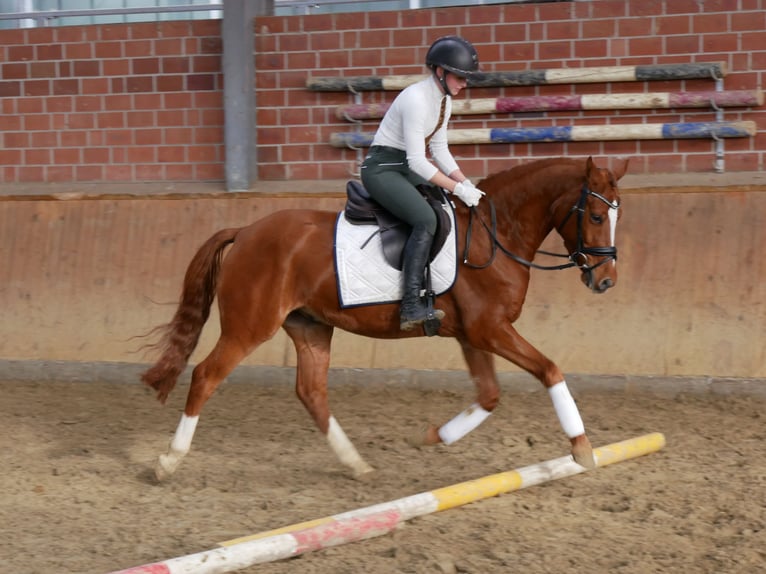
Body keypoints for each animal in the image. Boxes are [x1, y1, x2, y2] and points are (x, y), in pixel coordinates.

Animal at [144, 156, 632, 482]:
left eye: (616, 215)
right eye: (594, 214)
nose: (607, 280)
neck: (496, 237)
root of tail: (245, 231)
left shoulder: (474, 335)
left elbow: (490, 396)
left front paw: (433, 436)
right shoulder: (490, 330)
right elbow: (550, 370)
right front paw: (582, 449)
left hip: (310, 326)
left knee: (311, 391)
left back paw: (356, 464)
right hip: (250, 326)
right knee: (206, 376)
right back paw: (168, 461)